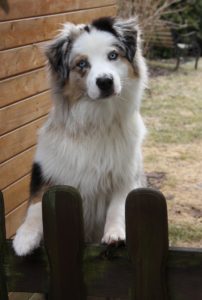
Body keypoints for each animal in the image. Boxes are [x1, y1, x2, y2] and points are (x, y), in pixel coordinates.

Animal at [13, 15, 148, 255]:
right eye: (82, 64)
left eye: (113, 55)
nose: (105, 81)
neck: (96, 120)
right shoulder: (46, 168)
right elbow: (36, 204)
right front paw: (24, 237)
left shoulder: (126, 174)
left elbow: (118, 206)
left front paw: (115, 233)